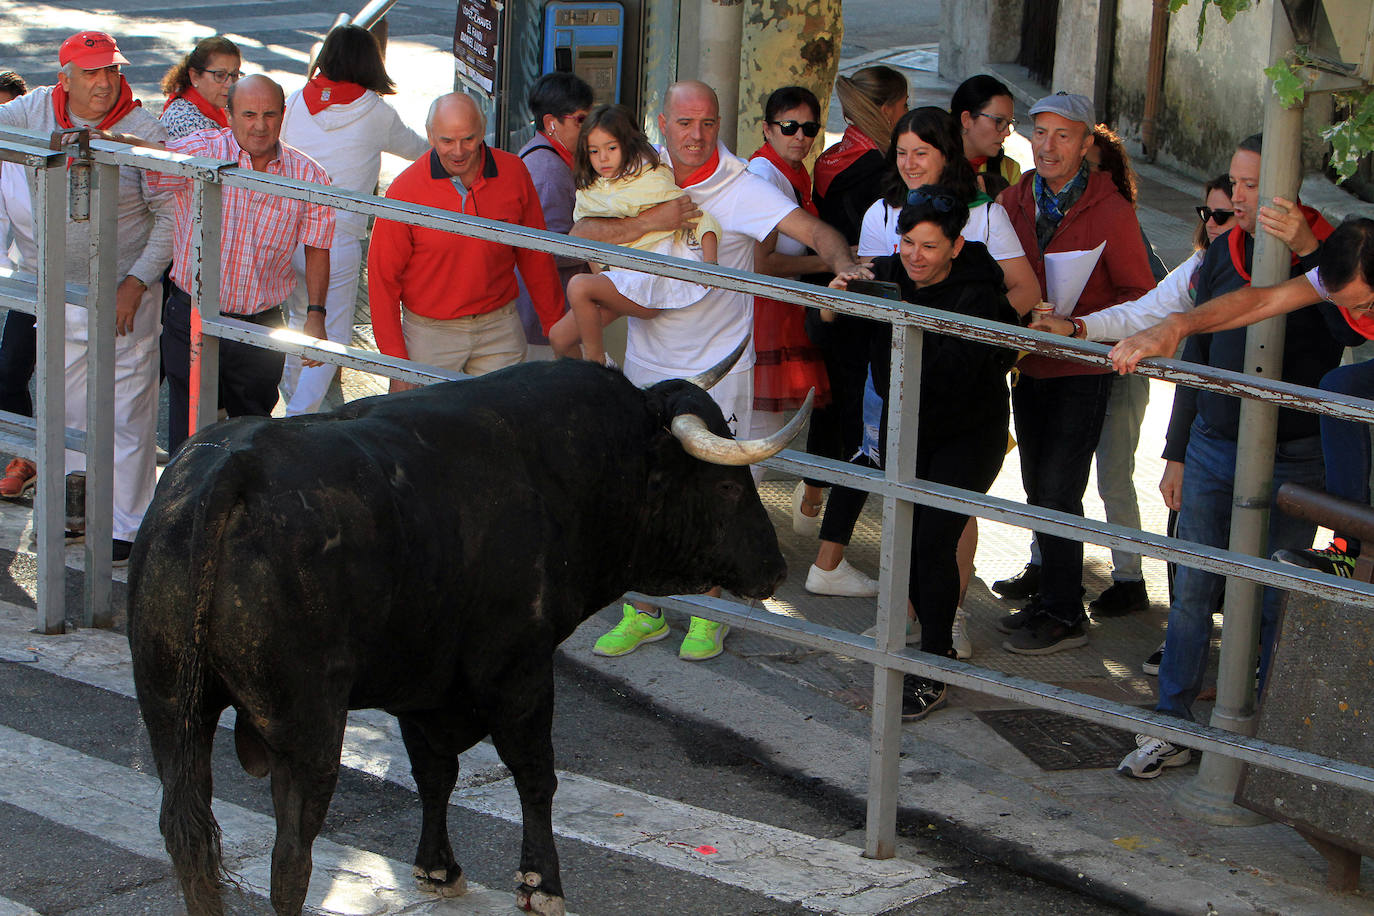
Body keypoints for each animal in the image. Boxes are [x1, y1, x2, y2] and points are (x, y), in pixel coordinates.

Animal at [126, 359, 802, 916]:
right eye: (724, 485)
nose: (775, 569)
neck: (561, 469)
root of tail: (232, 467)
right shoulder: (521, 672)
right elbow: (534, 775)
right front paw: (541, 884)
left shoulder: (426, 684)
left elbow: (434, 773)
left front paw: (437, 869)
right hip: (308, 727)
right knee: (290, 856)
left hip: (170, 709)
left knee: (188, 839)